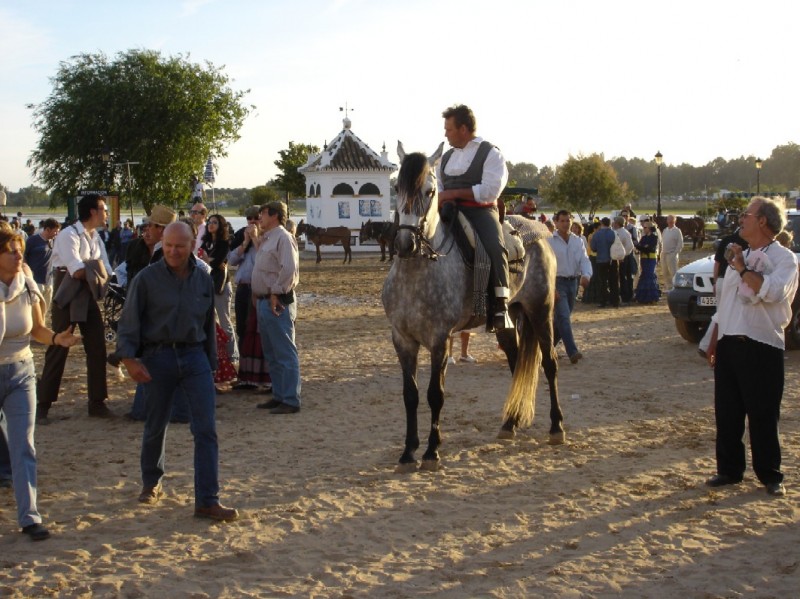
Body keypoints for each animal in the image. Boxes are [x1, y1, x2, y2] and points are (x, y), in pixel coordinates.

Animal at [382, 142, 564, 474]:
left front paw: (431, 452)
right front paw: (408, 452)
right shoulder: (402, 340)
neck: (418, 273)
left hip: (540, 311)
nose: (404, 244)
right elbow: (410, 395)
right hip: (508, 320)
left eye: (430, 191)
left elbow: (435, 394)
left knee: (550, 363)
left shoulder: (440, 339)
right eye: (397, 188)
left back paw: (556, 427)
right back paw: (510, 423)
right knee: (516, 361)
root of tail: (538, 232)